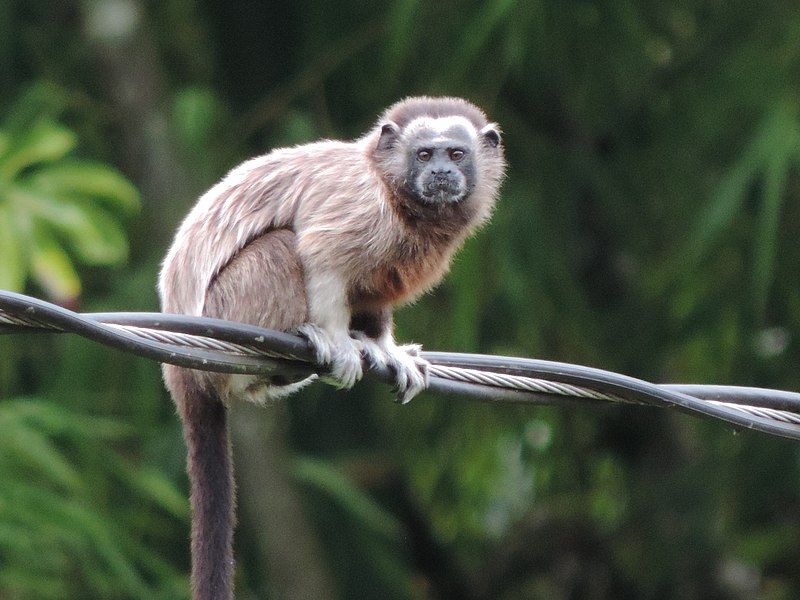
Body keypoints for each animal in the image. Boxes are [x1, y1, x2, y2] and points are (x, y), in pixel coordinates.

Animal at [159, 96, 504, 596]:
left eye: (456, 154)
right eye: (424, 155)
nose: (440, 173)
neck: (395, 194)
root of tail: (183, 375)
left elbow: (373, 293)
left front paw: (383, 346)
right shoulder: (359, 203)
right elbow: (319, 254)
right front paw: (340, 341)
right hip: (231, 305)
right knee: (283, 246)